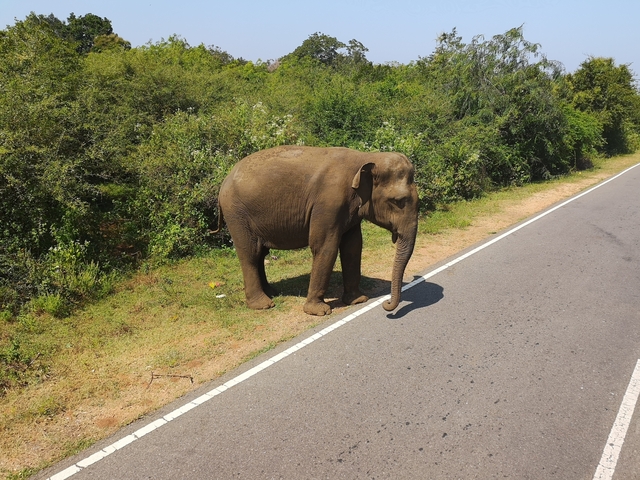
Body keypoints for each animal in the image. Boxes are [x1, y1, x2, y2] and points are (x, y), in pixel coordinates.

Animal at [214, 145, 419, 316]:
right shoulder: (328, 203)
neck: (365, 157)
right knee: (250, 253)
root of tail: (224, 181)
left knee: (260, 254)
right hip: (237, 214)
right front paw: (319, 311)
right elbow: (324, 247)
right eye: (398, 201)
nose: (386, 304)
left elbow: (353, 246)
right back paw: (264, 305)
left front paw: (358, 300)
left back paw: (272, 293)